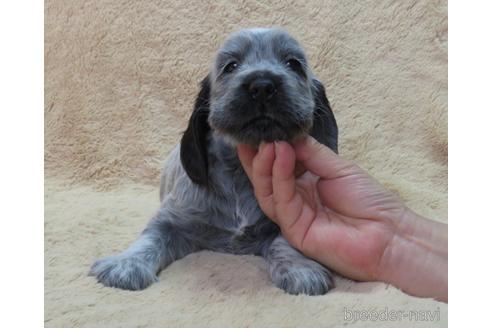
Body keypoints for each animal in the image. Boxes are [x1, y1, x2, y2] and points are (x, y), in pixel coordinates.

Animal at [89, 27, 338, 294]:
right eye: (231, 66)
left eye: (293, 64)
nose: (262, 85)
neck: (240, 172)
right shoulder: (172, 219)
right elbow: (150, 237)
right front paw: (126, 264)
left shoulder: (284, 218)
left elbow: (286, 241)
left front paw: (301, 268)